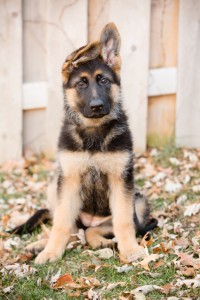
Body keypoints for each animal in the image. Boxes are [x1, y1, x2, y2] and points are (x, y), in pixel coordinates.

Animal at [12, 22, 156, 262]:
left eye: (104, 80)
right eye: (81, 83)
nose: (97, 106)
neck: (93, 133)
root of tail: (89, 220)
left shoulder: (121, 180)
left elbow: (124, 221)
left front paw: (130, 250)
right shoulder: (69, 181)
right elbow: (60, 224)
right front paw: (51, 251)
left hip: (139, 201)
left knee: (92, 231)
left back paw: (100, 241)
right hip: (55, 186)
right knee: (71, 229)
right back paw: (40, 245)